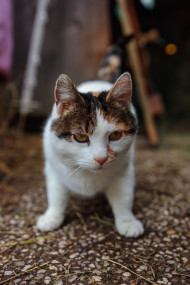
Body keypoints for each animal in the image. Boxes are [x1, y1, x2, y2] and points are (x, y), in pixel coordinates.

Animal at [36, 42, 144, 237]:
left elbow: (123, 197)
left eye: (115, 136)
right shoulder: (53, 169)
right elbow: (56, 195)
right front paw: (52, 217)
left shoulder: (124, 170)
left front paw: (127, 221)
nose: (101, 158)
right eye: (80, 137)